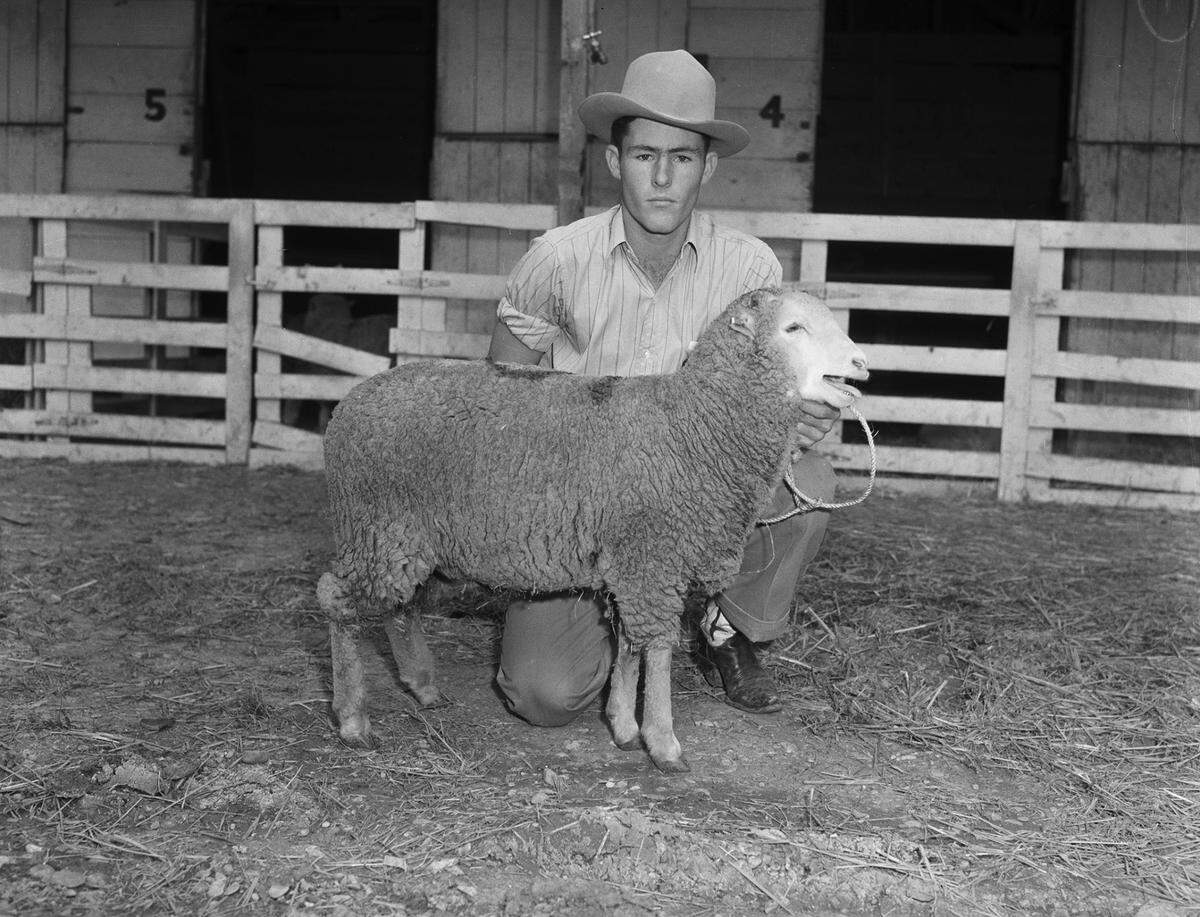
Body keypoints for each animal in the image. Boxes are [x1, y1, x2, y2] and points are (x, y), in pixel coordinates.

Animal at [316, 284, 869, 773]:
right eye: (793, 328)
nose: (862, 363)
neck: (694, 424)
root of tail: (349, 403)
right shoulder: (652, 558)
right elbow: (657, 652)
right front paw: (663, 744)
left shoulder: (631, 562)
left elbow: (627, 647)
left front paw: (623, 726)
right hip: (378, 524)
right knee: (337, 601)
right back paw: (353, 721)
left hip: (409, 538)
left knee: (401, 605)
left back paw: (423, 686)